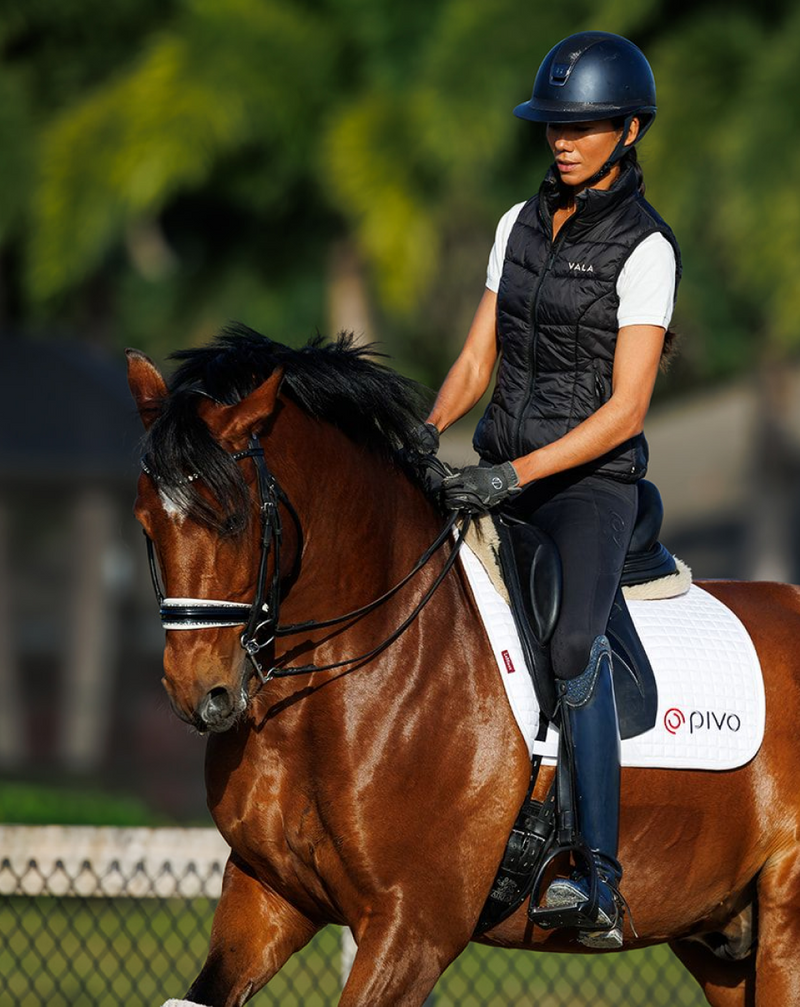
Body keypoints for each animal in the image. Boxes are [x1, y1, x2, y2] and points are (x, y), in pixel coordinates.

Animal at [127, 325, 800, 1007]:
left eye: (233, 519)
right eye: (146, 523)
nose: (199, 692)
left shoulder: (414, 927)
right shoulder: (269, 893)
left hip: (783, 926)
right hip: (718, 940)